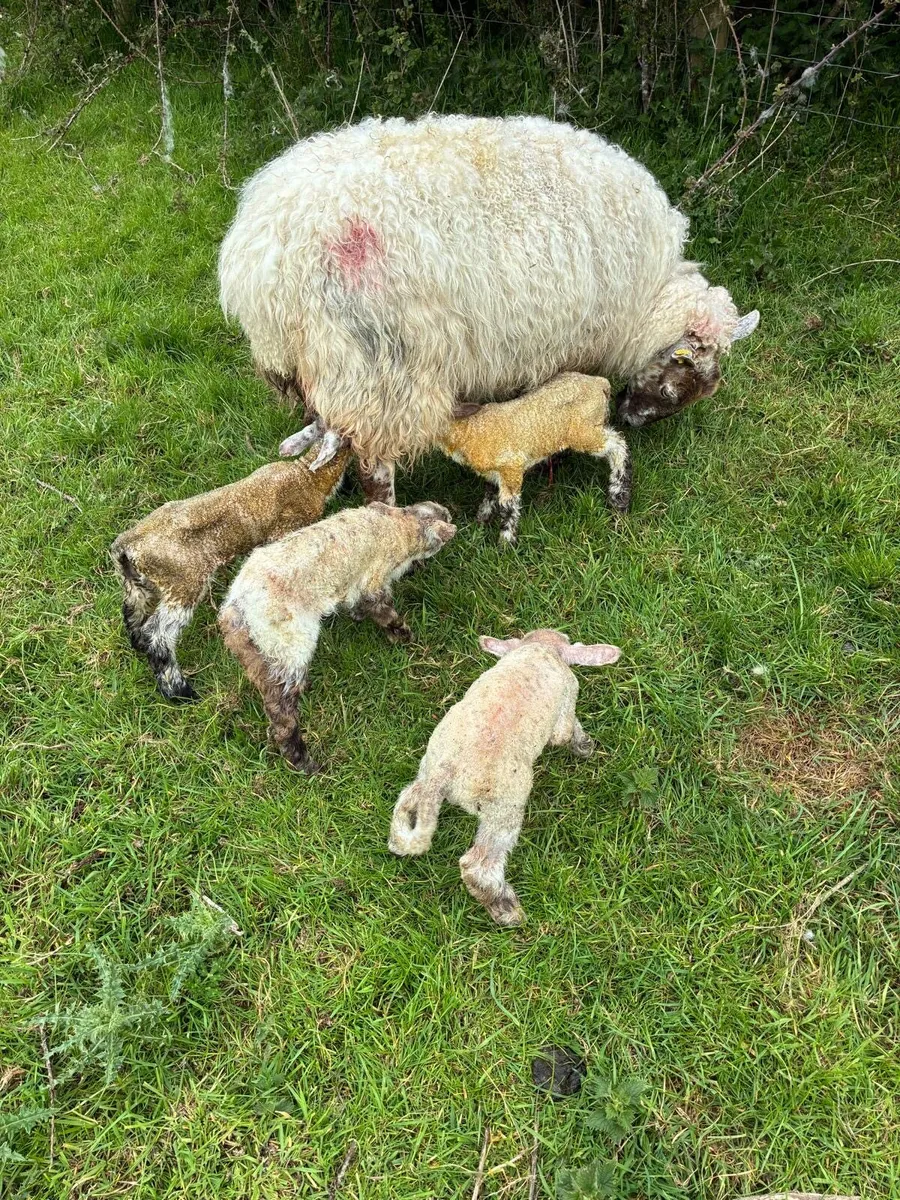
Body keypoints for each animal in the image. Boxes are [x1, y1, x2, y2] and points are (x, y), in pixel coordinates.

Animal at [110, 448, 349, 702]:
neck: (307, 475)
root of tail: (125, 546)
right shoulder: (285, 530)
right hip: (184, 582)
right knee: (157, 634)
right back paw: (179, 691)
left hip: (137, 584)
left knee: (133, 615)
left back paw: (139, 647)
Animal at [218, 501, 457, 774]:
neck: (398, 525)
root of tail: (236, 607)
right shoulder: (373, 580)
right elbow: (384, 612)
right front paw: (404, 636)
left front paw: (358, 616)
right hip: (288, 643)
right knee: (281, 711)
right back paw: (302, 760)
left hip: (255, 652)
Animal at [219, 113, 760, 503]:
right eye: (675, 379)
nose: (632, 420)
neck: (647, 299)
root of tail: (264, 251)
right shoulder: (565, 342)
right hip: (379, 366)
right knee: (377, 462)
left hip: (327, 364)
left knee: (333, 429)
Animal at [388, 629, 621, 927]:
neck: (540, 649)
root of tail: (444, 774)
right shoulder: (568, 698)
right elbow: (564, 732)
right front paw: (583, 745)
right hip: (504, 807)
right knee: (477, 865)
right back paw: (506, 909)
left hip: (426, 773)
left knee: (406, 804)